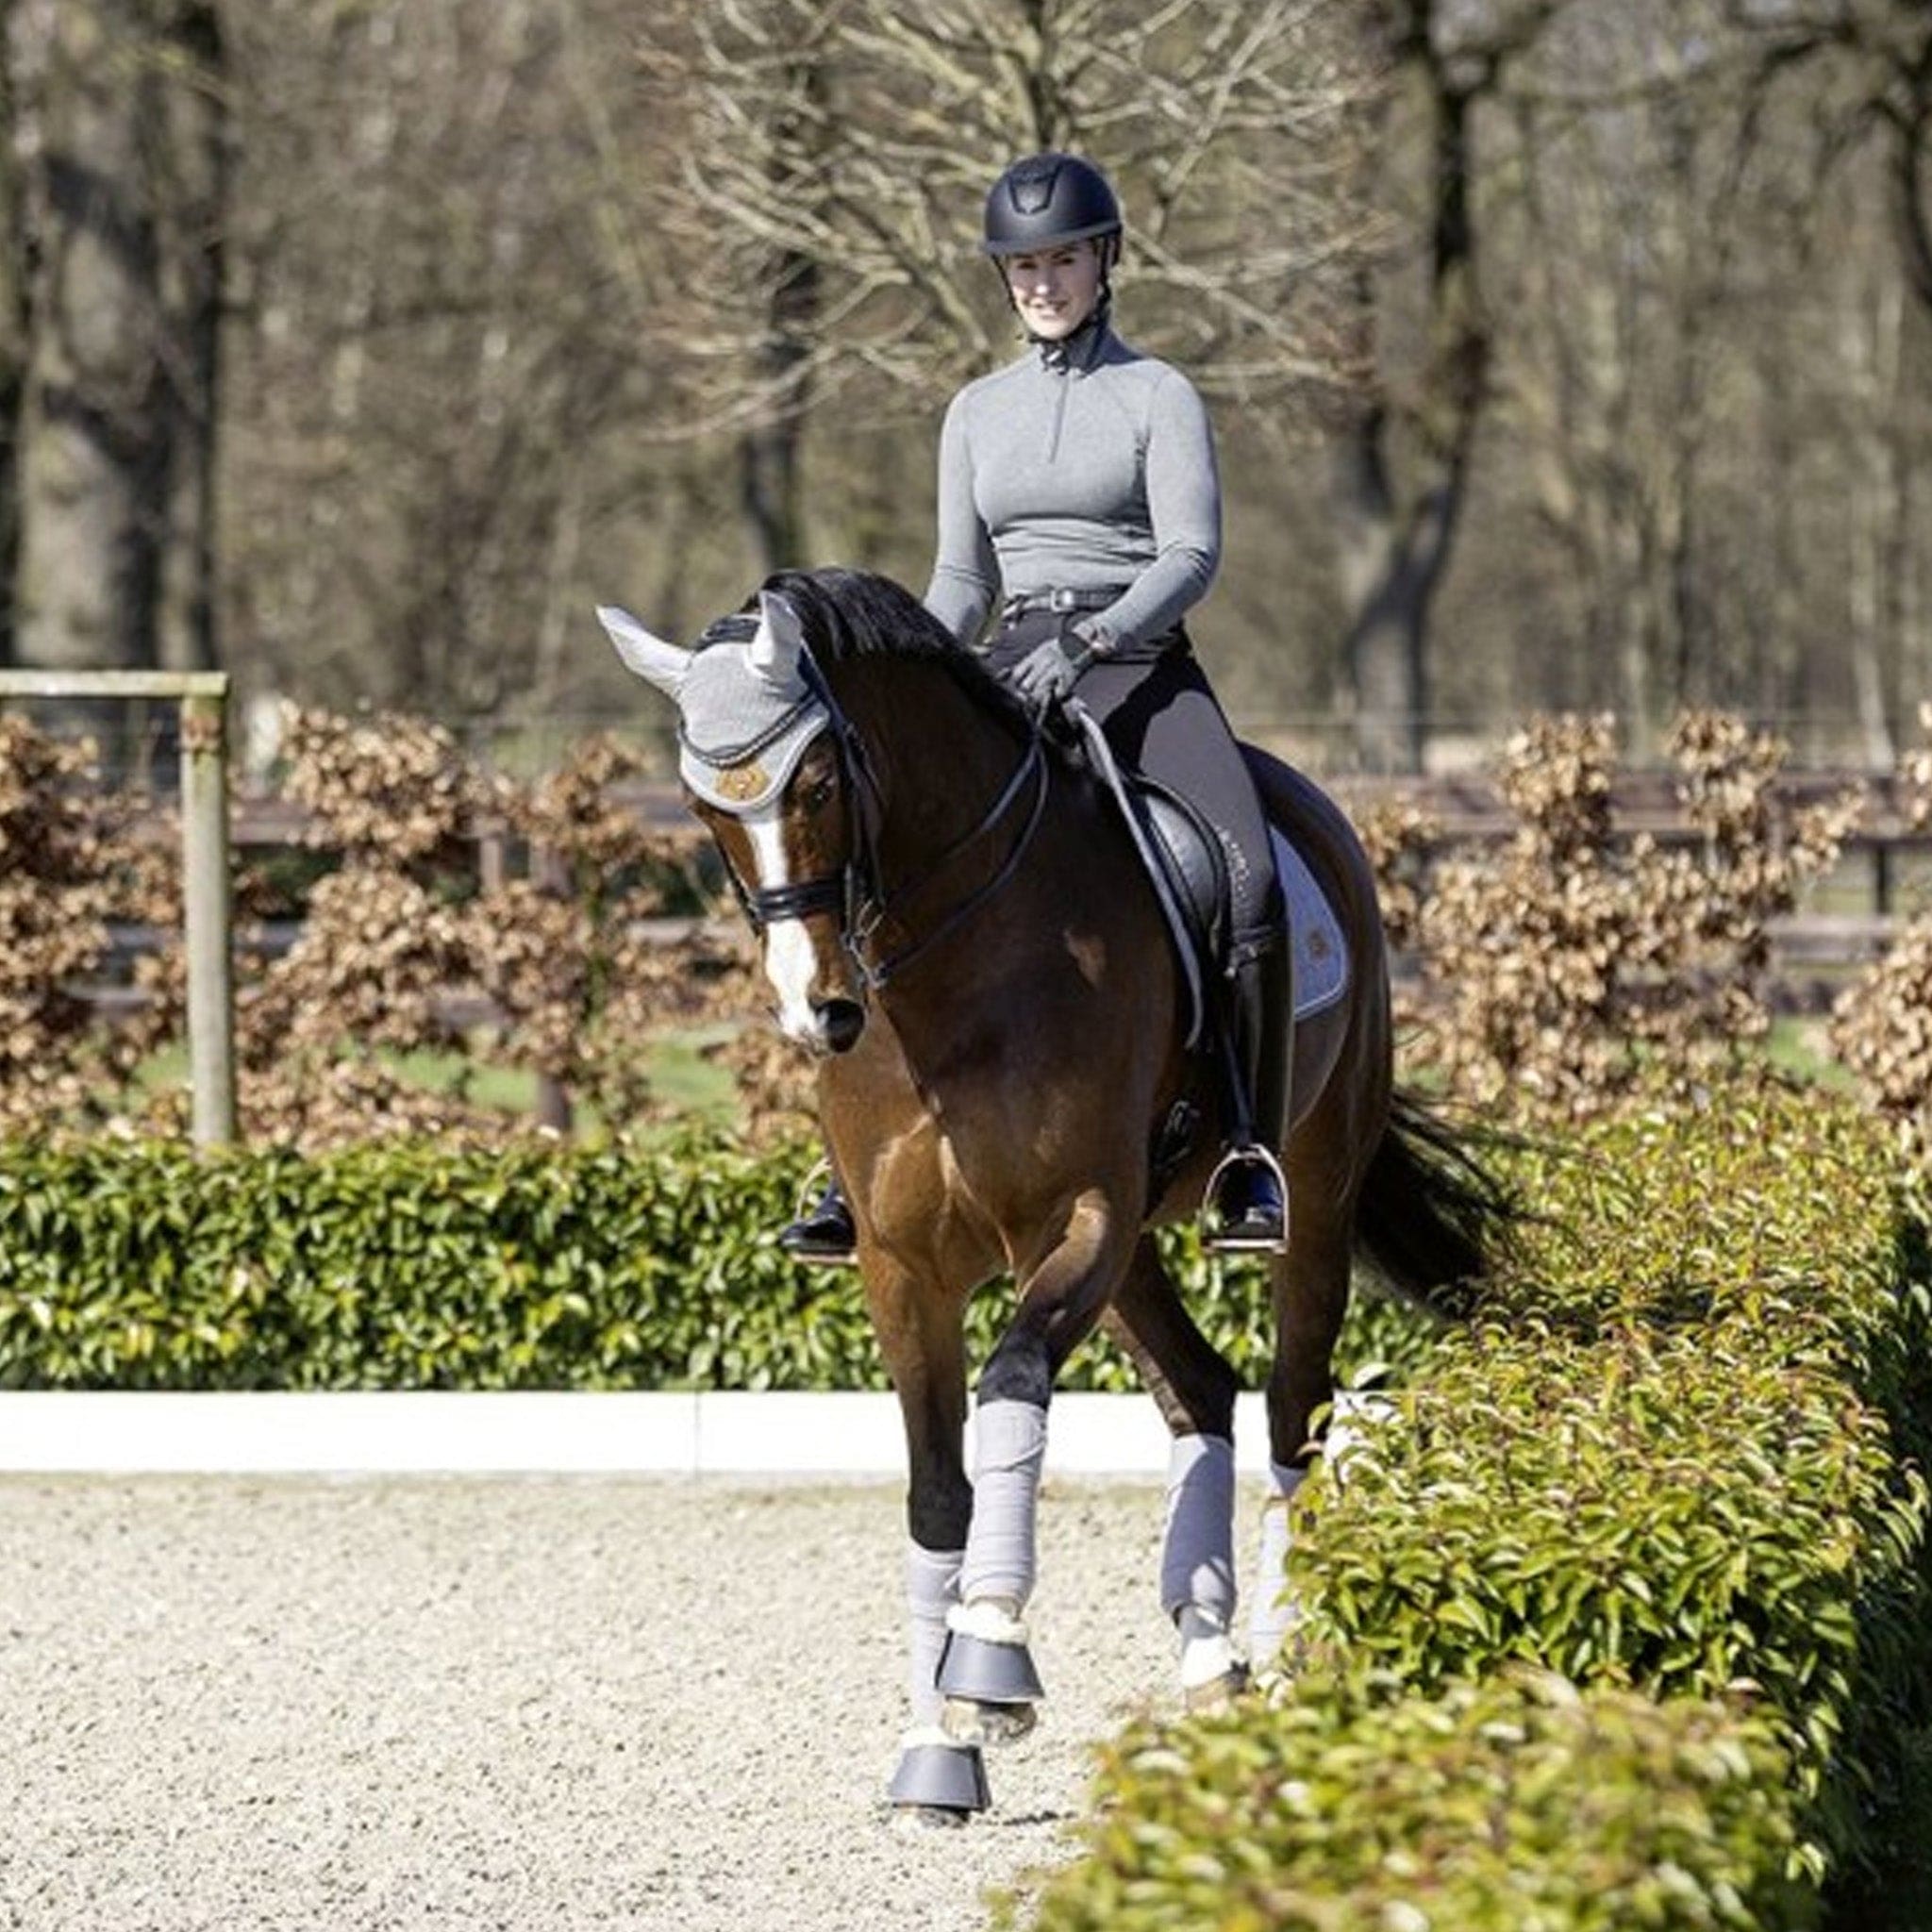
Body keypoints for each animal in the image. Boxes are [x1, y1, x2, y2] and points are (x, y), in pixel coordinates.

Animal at [598, 566, 1510, 1821]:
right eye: (704, 809)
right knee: (1198, 1388)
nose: (816, 1011)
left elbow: (1014, 1386)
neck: (950, 964)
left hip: (1306, 1202)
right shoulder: (901, 1267)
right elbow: (937, 1490)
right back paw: (1210, 1657)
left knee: (1292, 1412)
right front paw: (932, 1750)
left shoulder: (1075, 1217)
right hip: (1135, 1254)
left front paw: (988, 1655)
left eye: (818, 781)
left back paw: (1283, 1674)